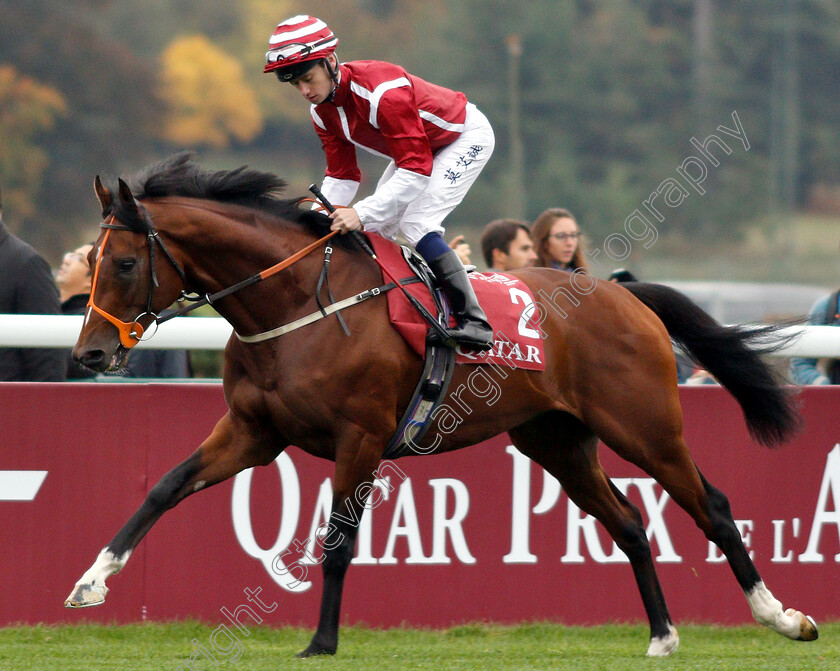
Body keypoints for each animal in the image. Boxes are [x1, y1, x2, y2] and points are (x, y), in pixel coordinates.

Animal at [64, 155, 812, 660]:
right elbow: (163, 487)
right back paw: (661, 634)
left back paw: (782, 616)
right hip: (557, 440)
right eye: (91, 261)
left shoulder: (361, 435)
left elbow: (338, 541)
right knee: (629, 522)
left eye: (125, 263)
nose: (92, 353)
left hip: (645, 426)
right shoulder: (253, 431)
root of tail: (623, 293)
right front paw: (91, 581)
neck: (298, 304)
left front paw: (322, 640)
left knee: (712, 506)